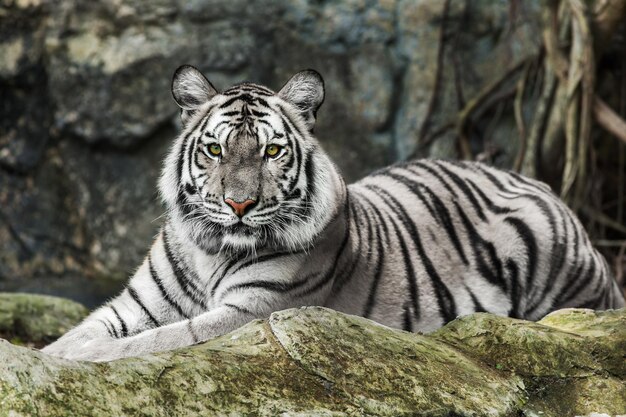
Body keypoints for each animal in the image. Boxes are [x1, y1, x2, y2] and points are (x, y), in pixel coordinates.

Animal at [41, 66, 620, 360]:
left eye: (272, 151)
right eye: (214, 150)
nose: (239, 204)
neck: (209, 249)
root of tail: (540, 182)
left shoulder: (253, 311)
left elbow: (161, 339)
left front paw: (78, 360)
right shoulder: (134, 304)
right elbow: (84, 330)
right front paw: (52, 353)